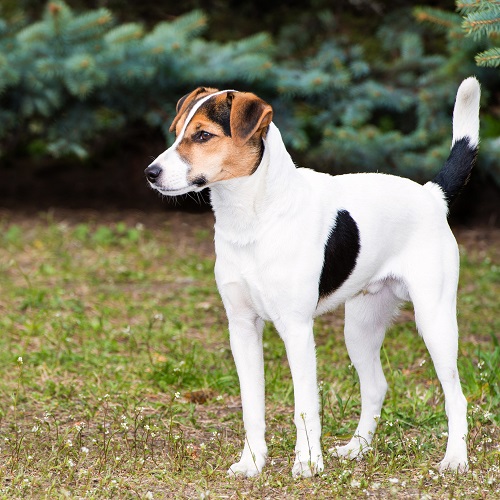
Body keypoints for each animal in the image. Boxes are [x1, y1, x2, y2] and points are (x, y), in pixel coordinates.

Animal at [145, 78, 480, 476]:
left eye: (203, 135)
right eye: (177, 132)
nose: (150, 173)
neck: (254, 219)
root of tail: (432, 195)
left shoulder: (296, 329)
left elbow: (305, 405)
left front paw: (307, 462)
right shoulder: (242, 327)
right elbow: (251, 406)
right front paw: (252, 461)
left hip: (435, 320)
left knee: (456, 396)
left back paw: (455, 457)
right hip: (361, 328)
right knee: (376, 387)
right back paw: (356, 448)